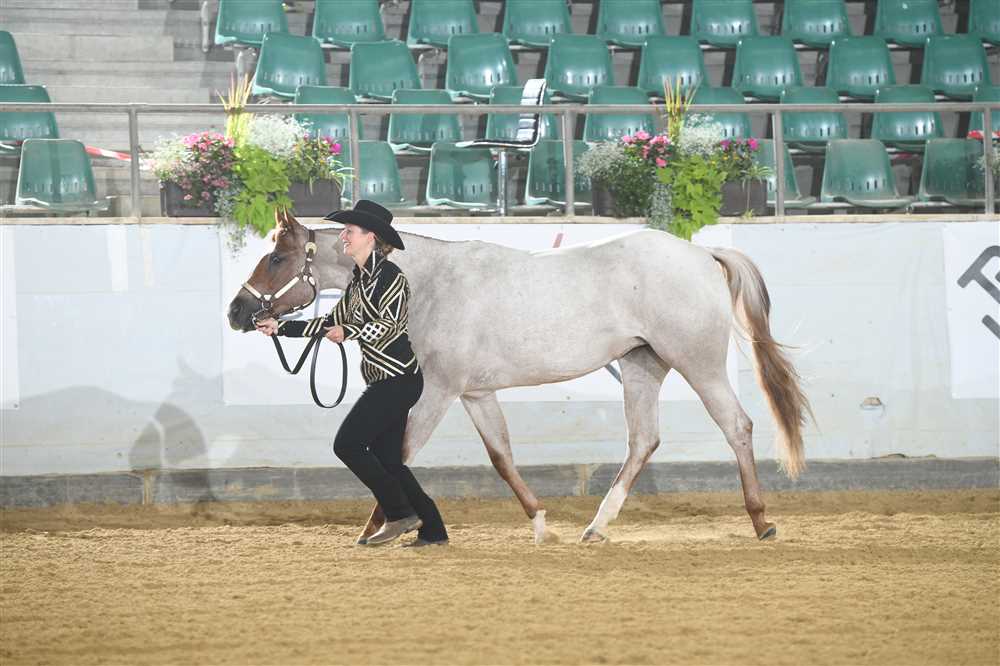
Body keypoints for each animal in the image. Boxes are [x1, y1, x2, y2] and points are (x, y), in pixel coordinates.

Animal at [228, 211, 812, 544]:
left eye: (276, 258)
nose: (238, 312)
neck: (430, 284)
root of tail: (702, 253)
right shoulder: (476, 393)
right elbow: (502, 458)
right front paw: (538, 522)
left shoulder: (438, 391)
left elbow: (401, 453)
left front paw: (382, 527)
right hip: (643, 365)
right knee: (644, 440)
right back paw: (595, 528)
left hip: (698, 361)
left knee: (737, 426)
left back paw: (761, 522)